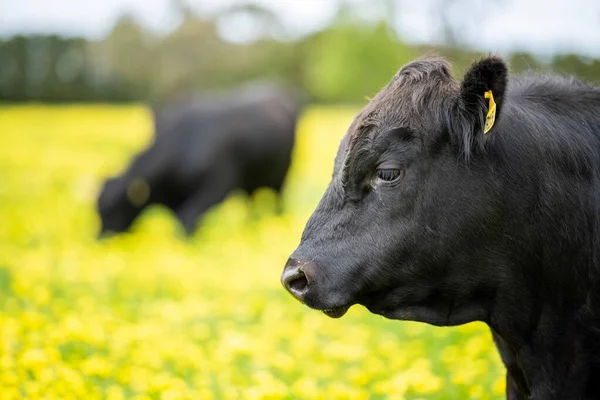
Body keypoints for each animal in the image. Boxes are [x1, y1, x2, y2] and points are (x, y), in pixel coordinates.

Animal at [96, 82, 302, 236]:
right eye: (98, 210)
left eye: (114, 208)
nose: (101, 239)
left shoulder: (216, 187)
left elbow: (186, 220)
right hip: (252, 179)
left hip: (280, 176)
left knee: (278, 200)